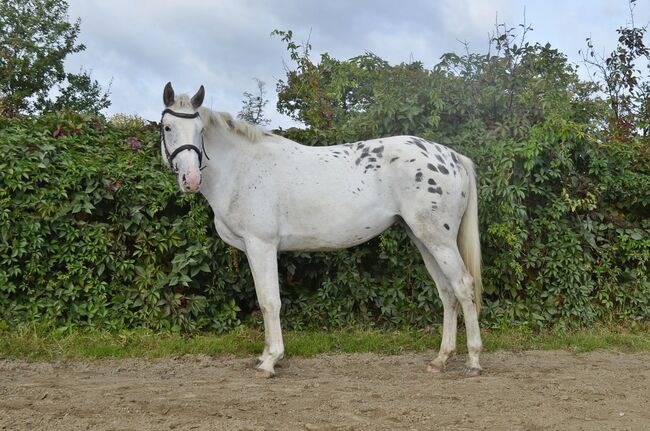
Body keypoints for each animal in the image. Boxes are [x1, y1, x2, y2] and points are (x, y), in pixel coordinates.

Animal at [158, 82, 480, 378]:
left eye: (200, 130)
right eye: (167, 127)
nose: (190, 179)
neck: (243, 168)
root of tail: (453, 157)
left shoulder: (261, 245)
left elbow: (269, 302)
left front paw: (270, 361)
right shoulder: (252, 249)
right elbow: (265, 300)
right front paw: (265, 355)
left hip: (439, 239)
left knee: (463, 286)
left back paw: (474, 361)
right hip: (423, 238)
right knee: (447, 292)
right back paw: (440, 359)